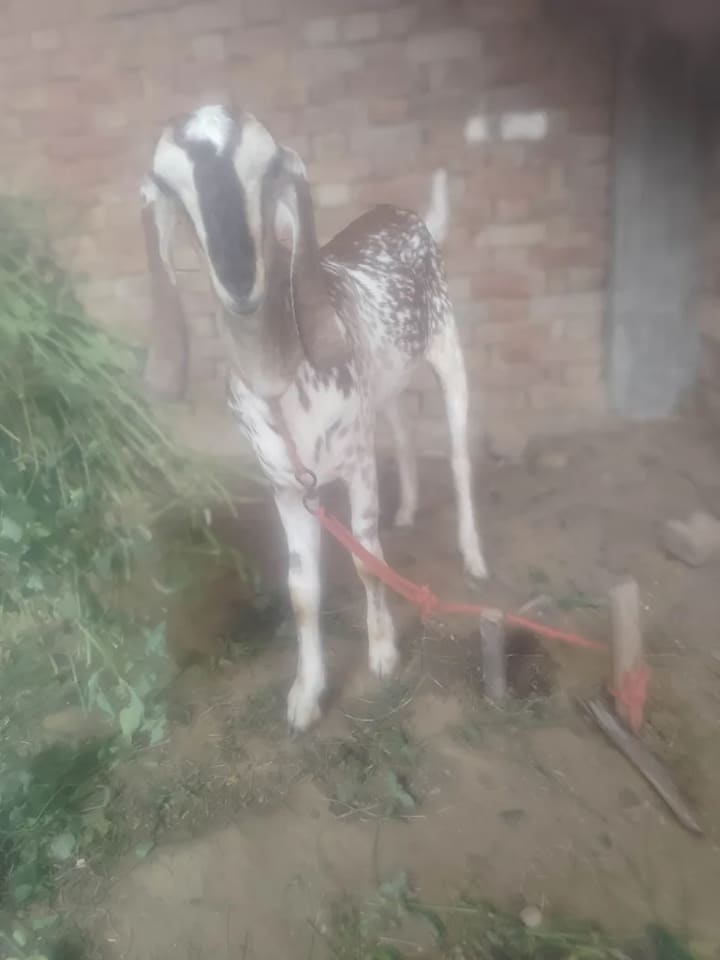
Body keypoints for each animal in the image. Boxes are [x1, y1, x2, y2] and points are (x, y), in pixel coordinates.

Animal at [140, 105, 487, 731]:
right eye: (173, 187)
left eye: (267, 169)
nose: (239, 277)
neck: (281, 382)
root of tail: (405, 214)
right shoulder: (286, 485)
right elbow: (302, 590)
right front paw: (306, 693)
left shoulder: (354, 464)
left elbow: (369, 562)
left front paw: (383, 654)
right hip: (387, 379)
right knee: (401, 426)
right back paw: (407, 509)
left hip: (447, 349)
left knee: (458, 455)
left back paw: (473, 556)